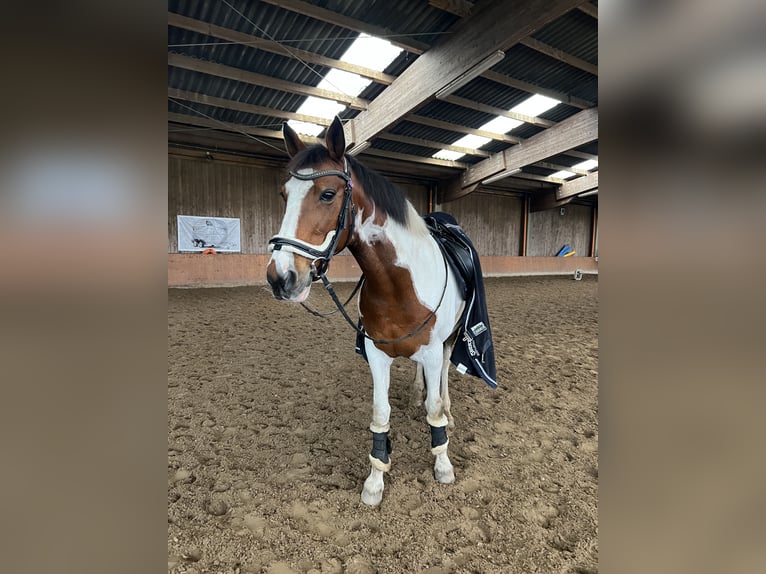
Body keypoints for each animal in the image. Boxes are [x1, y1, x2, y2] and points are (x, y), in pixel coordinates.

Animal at [266, 116, 469, 506]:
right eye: (284, 195)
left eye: (328, 194)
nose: (280, 277)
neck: (398, 285)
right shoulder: (378, 354)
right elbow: (381, 412)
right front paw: (375, 481)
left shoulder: (434, 350)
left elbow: (435, 407)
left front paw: (443, 465)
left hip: (451, 339)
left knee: (445, 376)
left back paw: (449, 413)